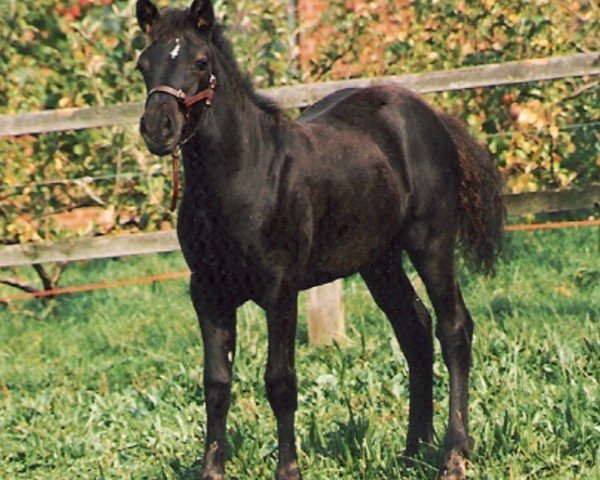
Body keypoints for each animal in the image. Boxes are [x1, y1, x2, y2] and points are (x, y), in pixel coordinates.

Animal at [135, 1, 502, 478]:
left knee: (454, 329)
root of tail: (431, 116)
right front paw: (211, 470)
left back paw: (454, 454)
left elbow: (280, 382)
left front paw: (288, 470)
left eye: (200, 62)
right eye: (144, 64)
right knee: (415, 330)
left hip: (432, 243)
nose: (158, 126)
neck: (243, 176)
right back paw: (412, 450)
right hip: (379, 261)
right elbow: (215, 383)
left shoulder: (280, 290)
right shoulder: (208, 293)